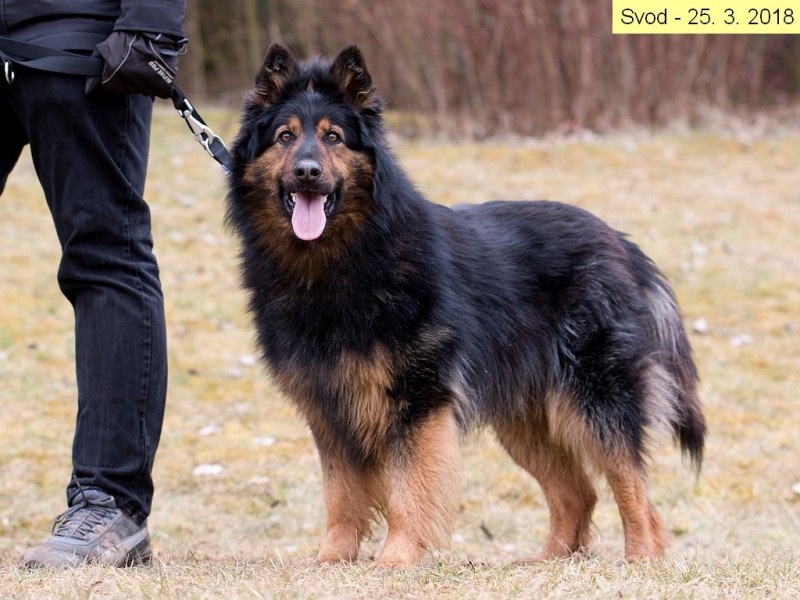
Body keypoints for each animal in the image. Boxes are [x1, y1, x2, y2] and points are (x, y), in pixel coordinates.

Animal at [227, 43, 708, 568]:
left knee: (632, 488)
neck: (342, 259)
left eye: (333, 138)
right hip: (527, 421)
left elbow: (409, 490)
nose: (307, 173)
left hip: (597, 400)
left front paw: (397, 559)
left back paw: (640, 559)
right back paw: (547, 562)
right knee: (578, 491)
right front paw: (333, 560)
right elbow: (341, 495)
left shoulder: (418, 403)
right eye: (285, 137)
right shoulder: (330, 409)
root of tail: (622, 244)